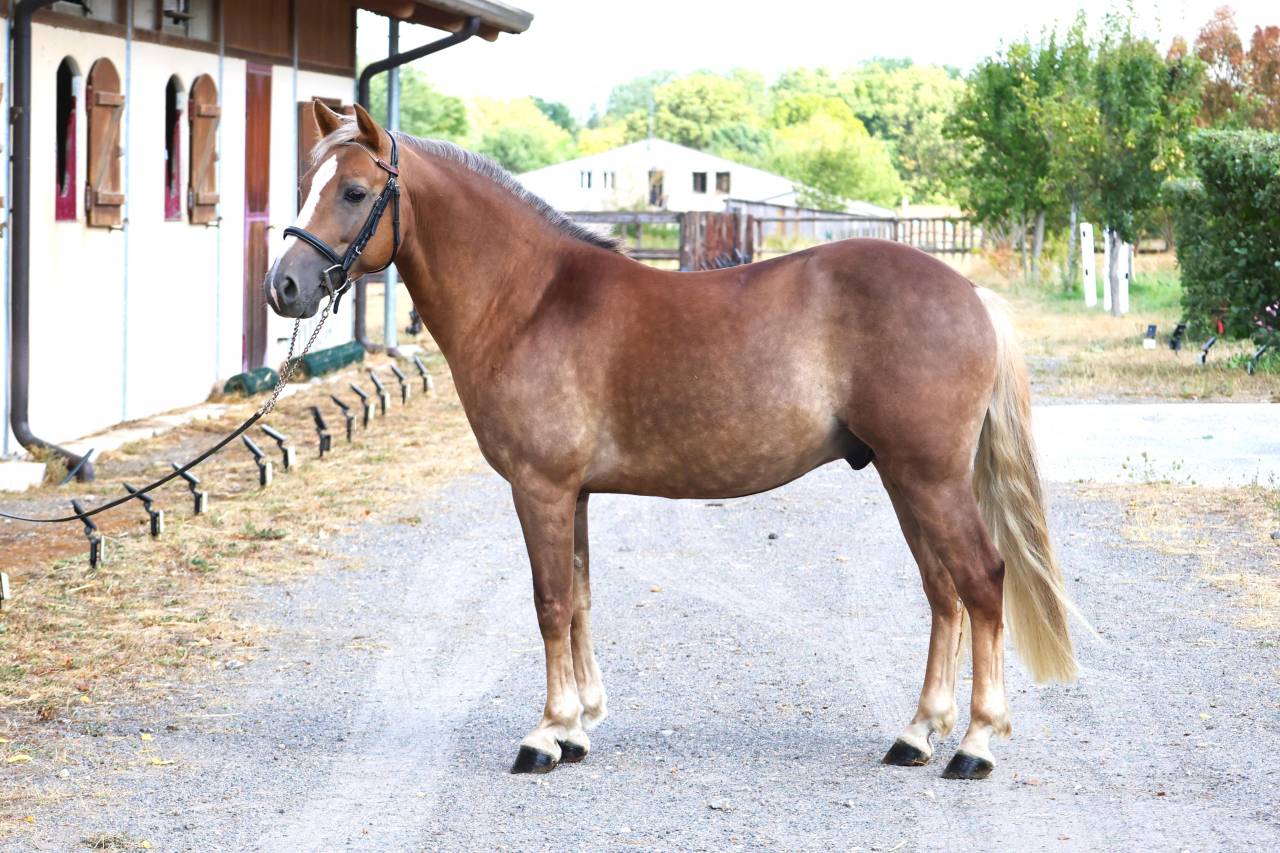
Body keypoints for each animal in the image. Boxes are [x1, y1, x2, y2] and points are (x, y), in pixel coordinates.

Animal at [264, 101, 1083, 781]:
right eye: (307, 181)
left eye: (355, 192)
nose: (285, 288)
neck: (529, 300)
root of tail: (969, 294)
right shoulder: (574, 493)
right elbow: (581, 596)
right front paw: (578, 727)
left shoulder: (540, 488)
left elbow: (550, 602)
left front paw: (544, 735)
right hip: (903, 476)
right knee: (943, 592)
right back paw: (917, 734)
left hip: (930, 477)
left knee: (981, 582)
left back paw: (975, 743)